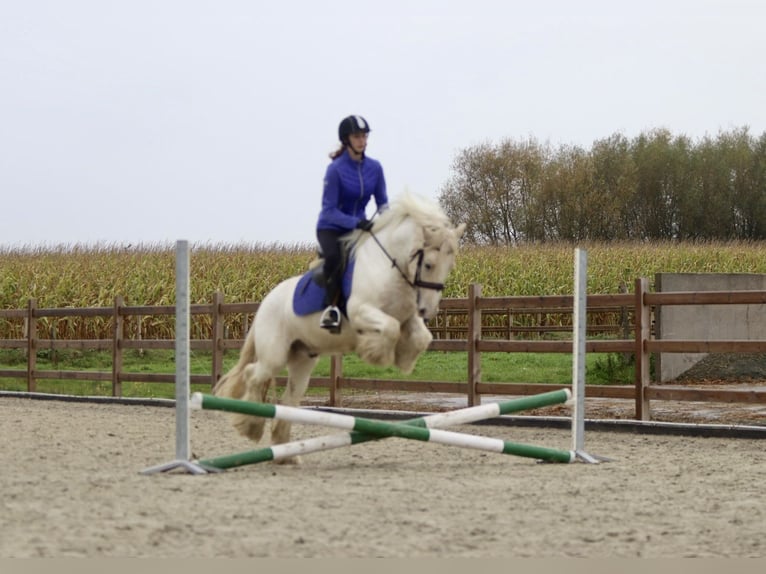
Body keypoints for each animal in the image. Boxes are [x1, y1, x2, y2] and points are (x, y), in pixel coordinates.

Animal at [214, 194, 468, 460]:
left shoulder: (407, 317)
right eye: (428, 264)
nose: (428, 310)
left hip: (302, 358)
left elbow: (420, 337)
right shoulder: (360, 312)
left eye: (450, 266)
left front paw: (404, 359)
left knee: (290, 397)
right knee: (252, 374)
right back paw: (250, 427)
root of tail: (265, 301)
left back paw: (287, 454)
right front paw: (376, 354)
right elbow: (389, 329)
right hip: (274, 354)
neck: (388, 268)